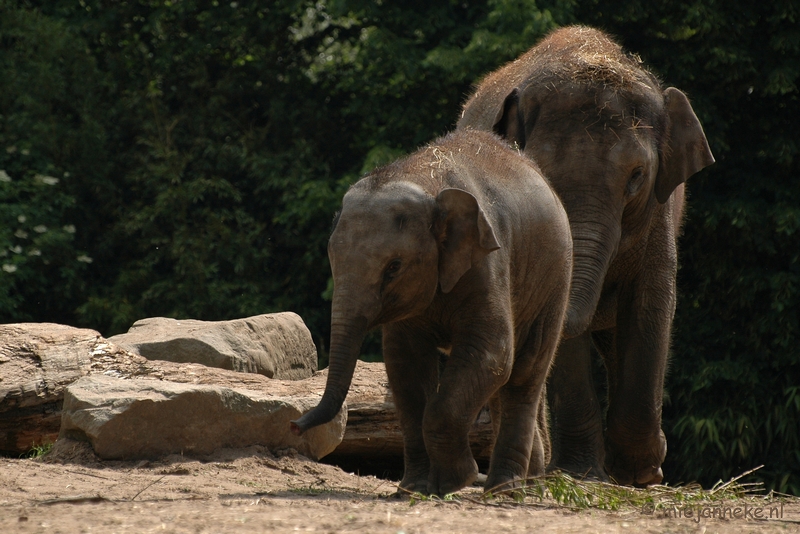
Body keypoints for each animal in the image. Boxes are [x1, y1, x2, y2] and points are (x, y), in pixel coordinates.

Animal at [290, 130, 572, 498]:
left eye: (394, 267)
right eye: (332, 259)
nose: (294, 425)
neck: (422, 178)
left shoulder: (486, 263)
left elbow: (491, 353)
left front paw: (456, 481)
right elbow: (405, 365)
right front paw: (414, 489)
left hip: (555, 277)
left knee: (524, 372)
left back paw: (505, 490)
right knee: (504, 383)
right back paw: (523, 485)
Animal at [460, 25, 716, 488]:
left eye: (636, 177)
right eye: (538, 170)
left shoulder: (657, 214)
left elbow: (652, 304)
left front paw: (641, 474)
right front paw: (582, 473)